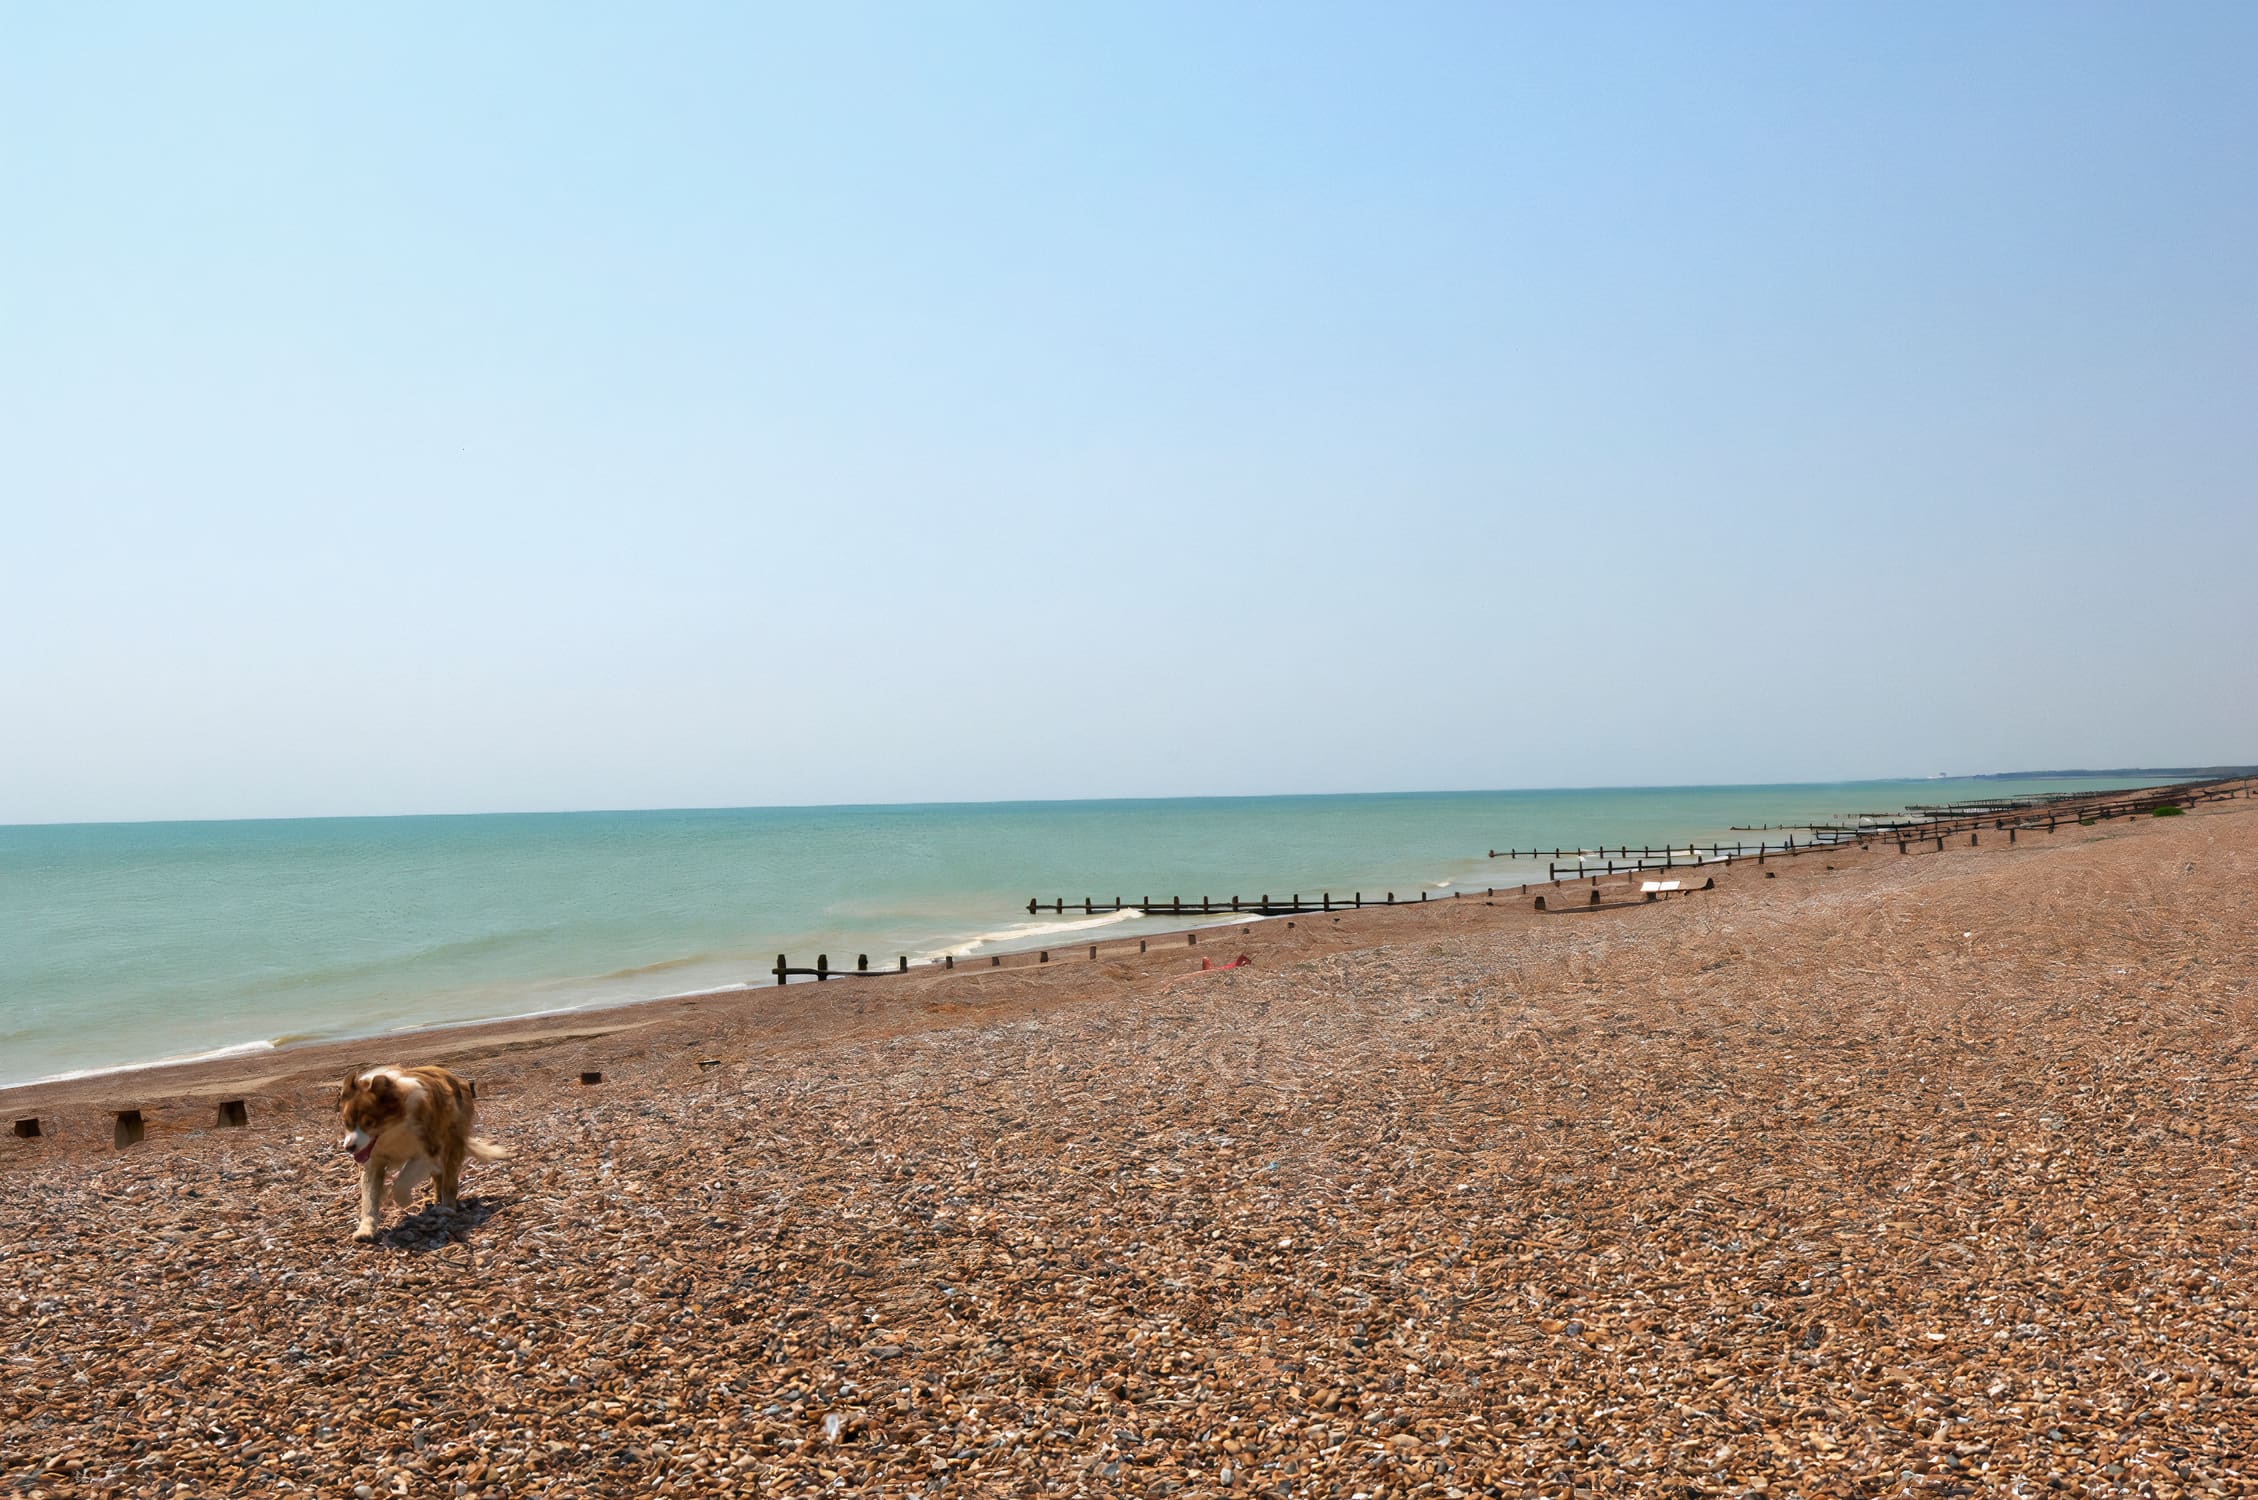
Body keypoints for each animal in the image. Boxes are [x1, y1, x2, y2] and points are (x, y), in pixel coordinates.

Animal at [337, 1065, 507, 1242]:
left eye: (369, 1123)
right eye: (347, 1123)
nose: (349, 1147)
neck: (395, 1129)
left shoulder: (429, 1151)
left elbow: (401, 1183)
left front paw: (404, 1201)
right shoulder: (374, 1162)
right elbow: (369, 1198)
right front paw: (365, 1229)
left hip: (452, 1145)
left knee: (449, 1180)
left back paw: (447, 1208)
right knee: (438, 1178)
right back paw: (436, 1199)